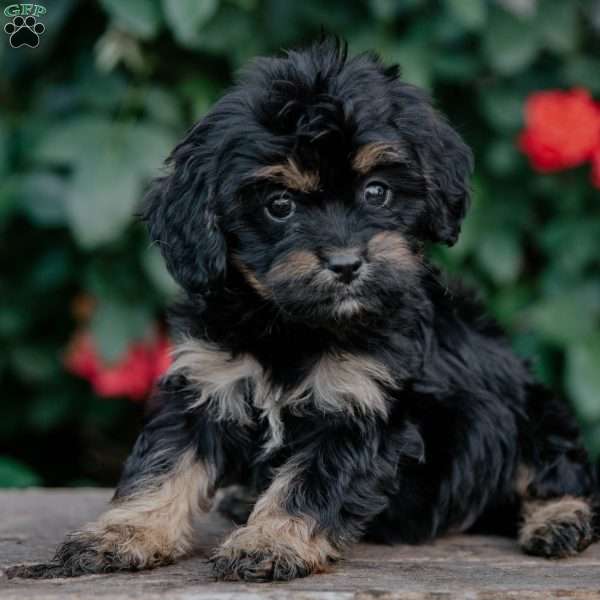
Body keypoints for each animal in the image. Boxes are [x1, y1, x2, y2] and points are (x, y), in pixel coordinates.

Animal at [11, 37, 596, 580]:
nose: (346, 264)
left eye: (377, 192)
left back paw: (559, 520)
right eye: (279, 205)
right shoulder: (204, 383)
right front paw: (124, 532)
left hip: (530, 409)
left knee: (555, 468)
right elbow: (164, 462)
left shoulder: (362, 405)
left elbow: (311, 482)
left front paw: (269, 544)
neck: (289, 325)